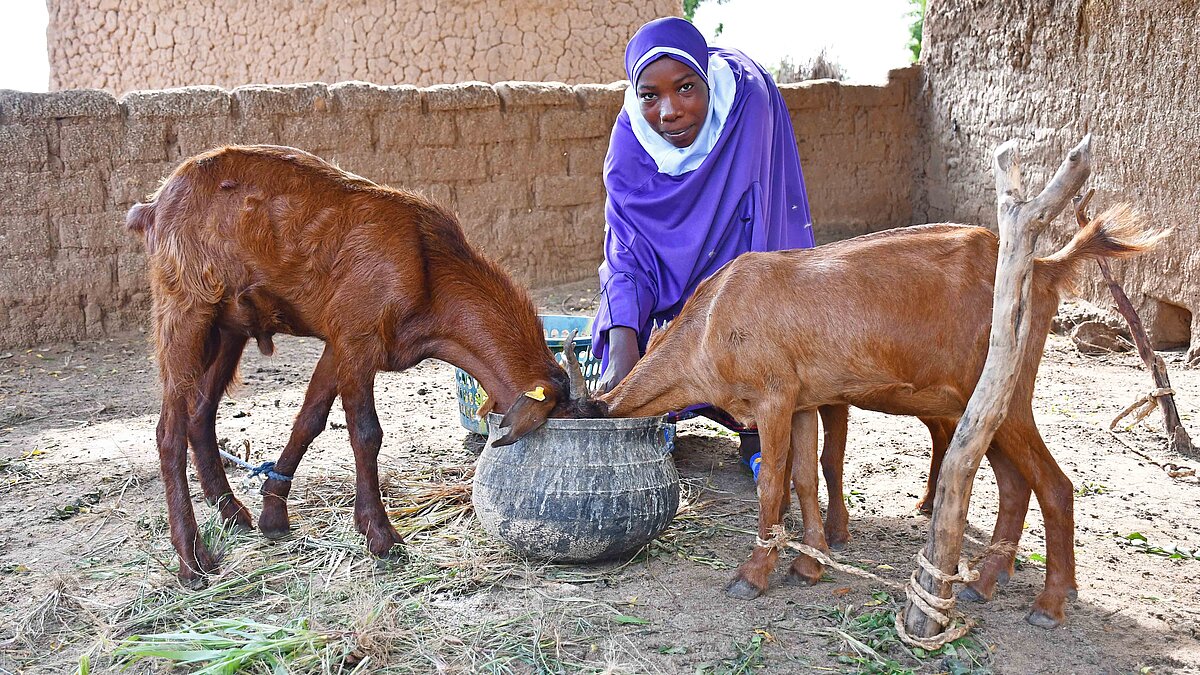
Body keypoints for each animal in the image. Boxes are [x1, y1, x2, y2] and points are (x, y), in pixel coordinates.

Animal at [126, 144, 600, 586]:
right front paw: (380, 536)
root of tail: (153, 206)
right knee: (168, 430)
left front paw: (273, 513)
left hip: (228, 327)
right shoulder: (358, 339)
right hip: (185, 309)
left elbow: (310, 419)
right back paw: (192, 559)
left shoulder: (337, 343)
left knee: (200, 413)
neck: (429, 270)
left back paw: (231, 512)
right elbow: (366, 434)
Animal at [604, 207, 1156, 629]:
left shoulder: (773, 397)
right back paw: (986, 583)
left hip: (1008, 393)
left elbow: (772, 483)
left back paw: (1049, 604)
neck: (712, 319)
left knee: (1055, 486)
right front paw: (810, 564)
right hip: (986, 406)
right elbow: (805, 477)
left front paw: (754, 573)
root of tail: (1042, 267)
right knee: (1016, 484)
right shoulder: (803, 399)